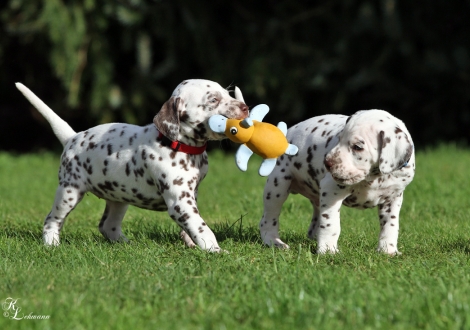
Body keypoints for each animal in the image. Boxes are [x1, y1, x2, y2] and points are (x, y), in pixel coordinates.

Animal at [15, 80, 250, 253]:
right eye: (213, 99)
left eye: (229, 94)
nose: (245, 107)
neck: (179, 145)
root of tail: (73, 137)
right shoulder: (179, 202)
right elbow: (201, 226)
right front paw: (214, 250)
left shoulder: (191, 194)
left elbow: (191, 225)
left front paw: (192, 244)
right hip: (69, 191)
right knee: (52, 219)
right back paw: (51, 244)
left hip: (118, 199)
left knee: (107, 226)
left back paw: (127, 244)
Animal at [260, 109, 414, 254]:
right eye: (339, 139)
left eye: (358, 147)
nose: (327, 163)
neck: (374, 177)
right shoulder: (332, 190)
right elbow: (331, 224)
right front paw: (328, 250)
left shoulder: (393, 198)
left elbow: (390, 225)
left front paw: (388, 250)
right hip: (277, 187)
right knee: (269, 218)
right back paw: (274, 242)